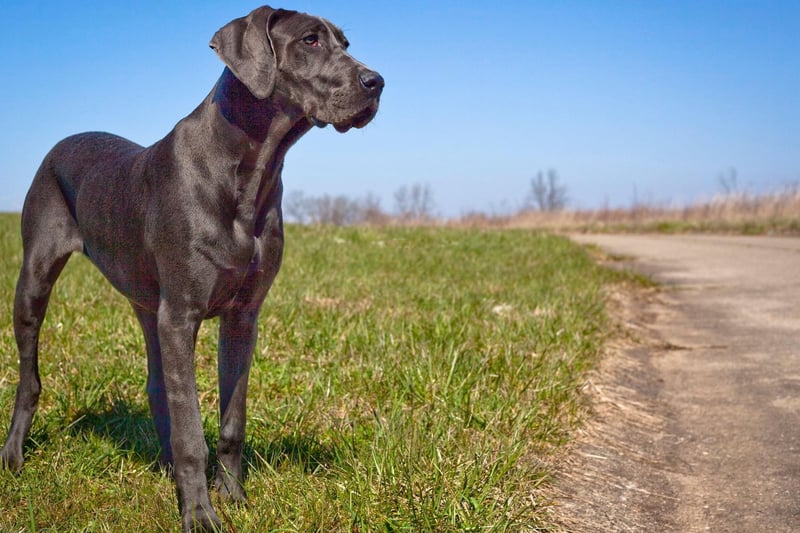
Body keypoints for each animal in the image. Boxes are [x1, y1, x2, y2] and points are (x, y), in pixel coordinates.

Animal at [0, 5, 382, 532]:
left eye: (345, 43)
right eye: (309, 40)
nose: (377, 81)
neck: (250, 168)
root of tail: (60, 142)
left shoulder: (242, 317)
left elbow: (231, 420)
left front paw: (233, 496)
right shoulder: (181, 316)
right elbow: (190, 432)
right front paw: (200, 514)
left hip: (148, 307)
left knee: (158, 385)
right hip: (36, 277)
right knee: (29, 376)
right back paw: (14, 454)